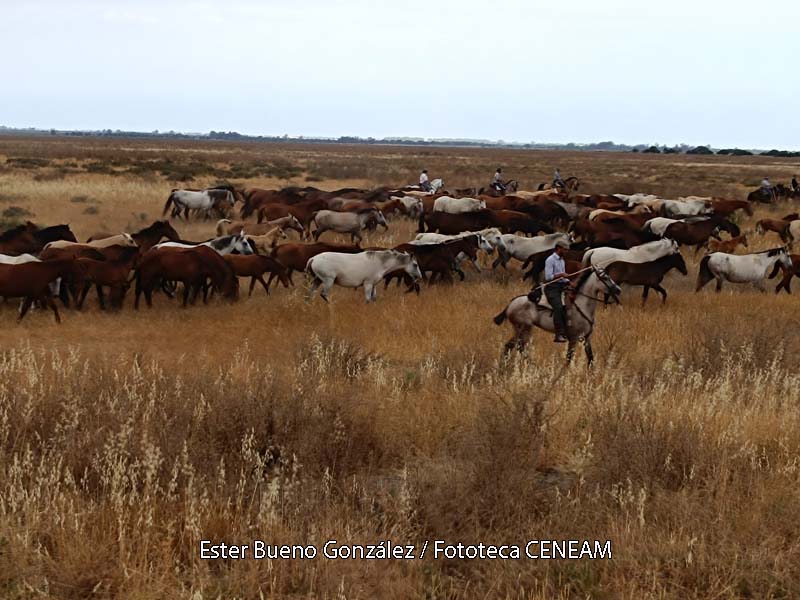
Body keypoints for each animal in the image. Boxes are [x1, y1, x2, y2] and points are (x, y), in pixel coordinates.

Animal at [490, 268, 620, 364]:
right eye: (605, 277)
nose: (618, 289)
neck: (582, 305)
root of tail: (511, 303)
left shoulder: (587, 338)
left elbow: (590, 358)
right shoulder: (573, 338)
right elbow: (568, 359)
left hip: (523, 330)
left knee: (511, 346)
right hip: (523, 329)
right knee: (519, 347)